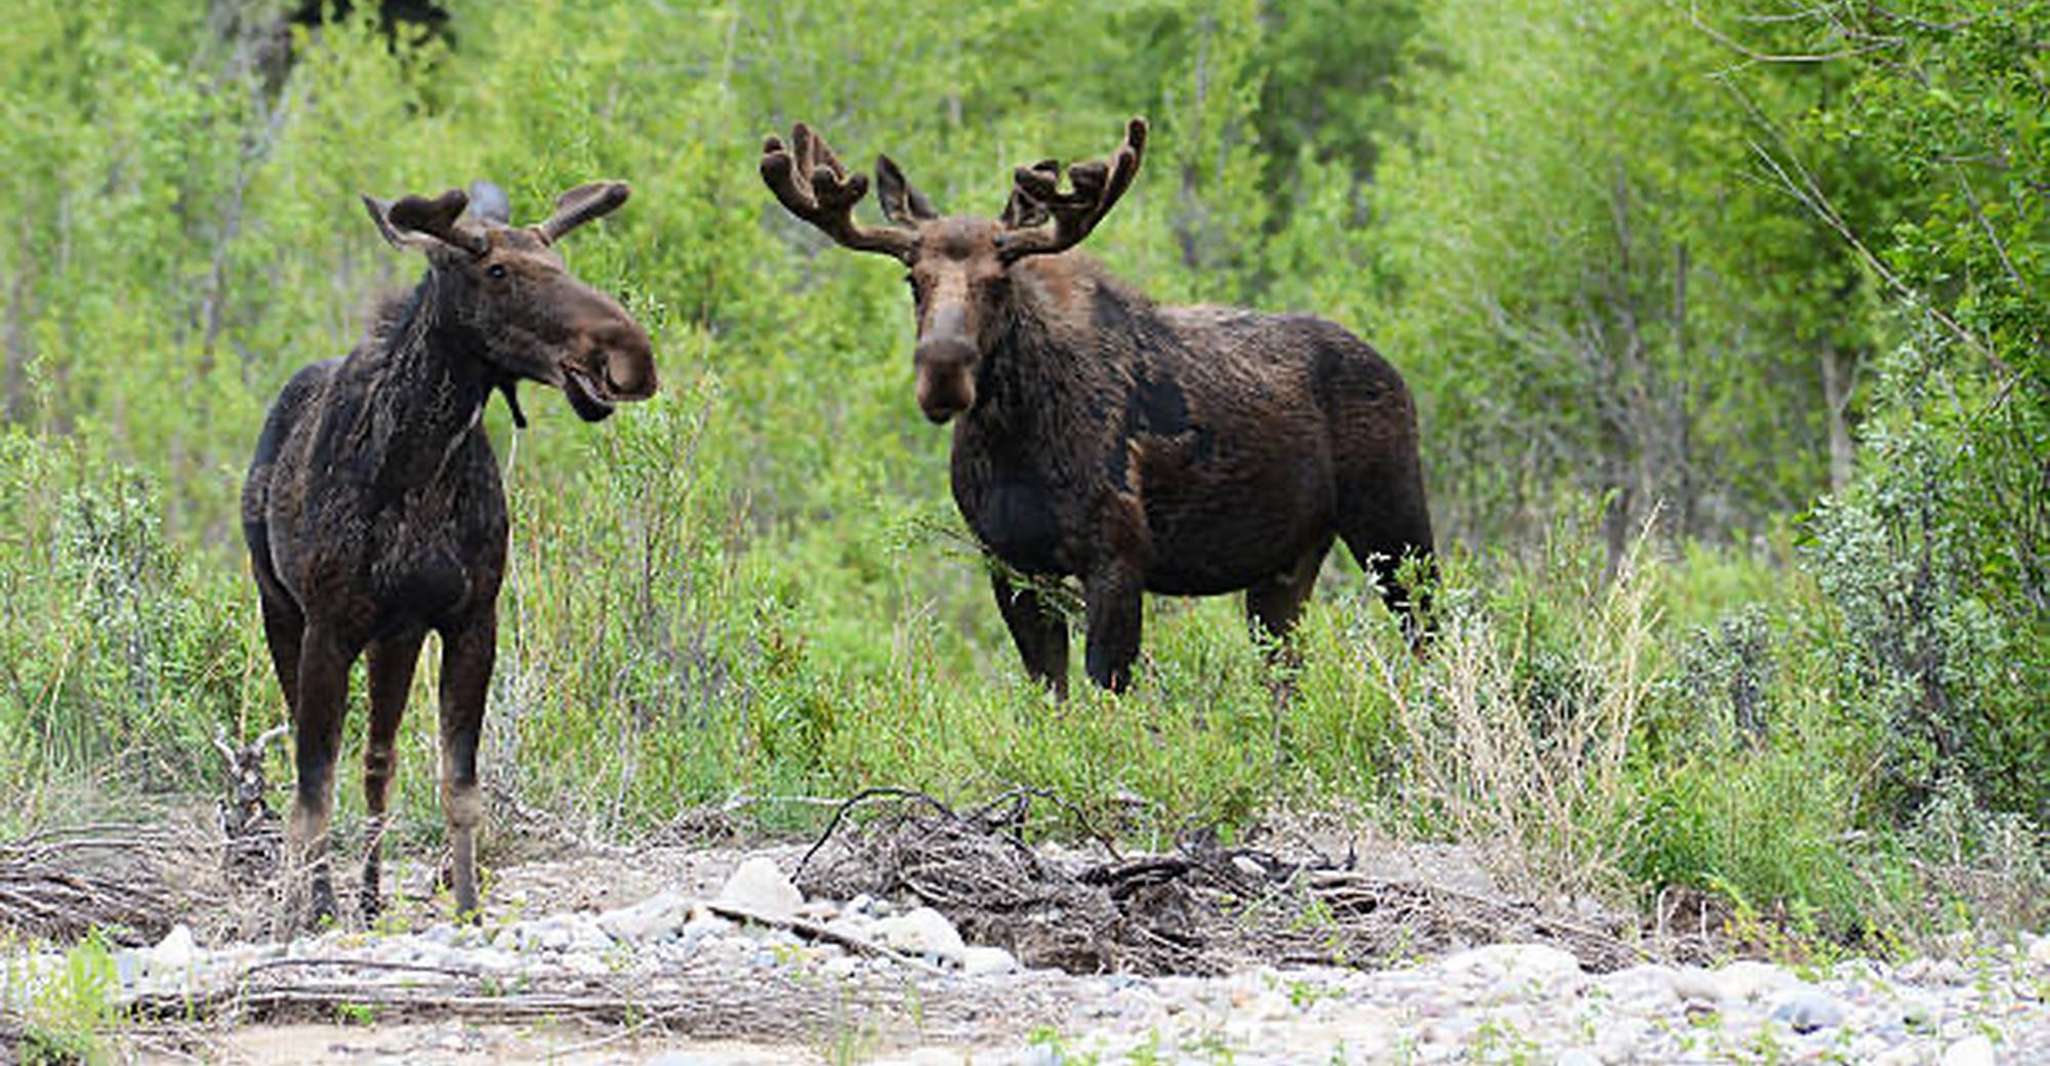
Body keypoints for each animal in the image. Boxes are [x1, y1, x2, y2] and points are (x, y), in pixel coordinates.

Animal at [240, 179, 660, 918]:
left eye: (557, 259)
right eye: (496, 271)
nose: (629, 354)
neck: (422, 465)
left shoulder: (470, 620)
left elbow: (458, 788)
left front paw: (467, 908)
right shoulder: (327, 625)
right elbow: (313, 790)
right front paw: (308, 913)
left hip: (396, 637)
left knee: (379, 758)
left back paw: (371, 896)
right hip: (279, 607)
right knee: (317, 761)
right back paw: (319, 895)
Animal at [762, 120, 1435, 697]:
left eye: (1000, 279)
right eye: (913, 279)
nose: (942, 371)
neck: (1014, 441)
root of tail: (1395, 373)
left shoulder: (1117, 558)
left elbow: (1106, 697)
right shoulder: (1009, 564)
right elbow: (1051, 698)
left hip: (1395, 523)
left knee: (1430, 633)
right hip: (1285, 566)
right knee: (1288, 677)